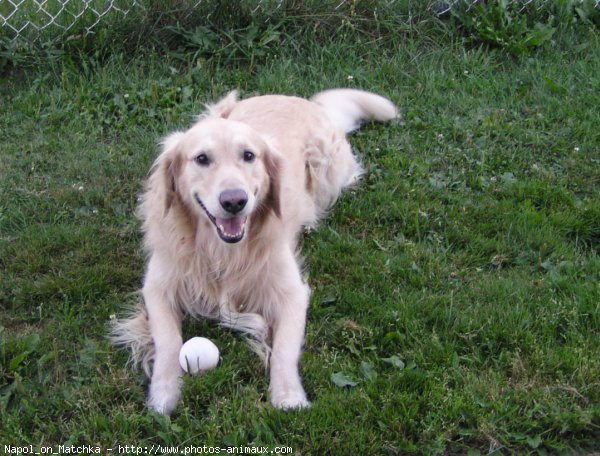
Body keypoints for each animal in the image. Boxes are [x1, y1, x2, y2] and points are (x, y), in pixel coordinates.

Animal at [110, 88, 396, 414]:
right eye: (201, 159)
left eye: (248, 155)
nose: (234, 201)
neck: (221, 251)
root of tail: (306, 101)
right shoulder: (157, 287)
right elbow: (169, 341)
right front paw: (164, 392)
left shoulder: (292, 293)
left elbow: (285, 348)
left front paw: (289, 395)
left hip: (328, 172)